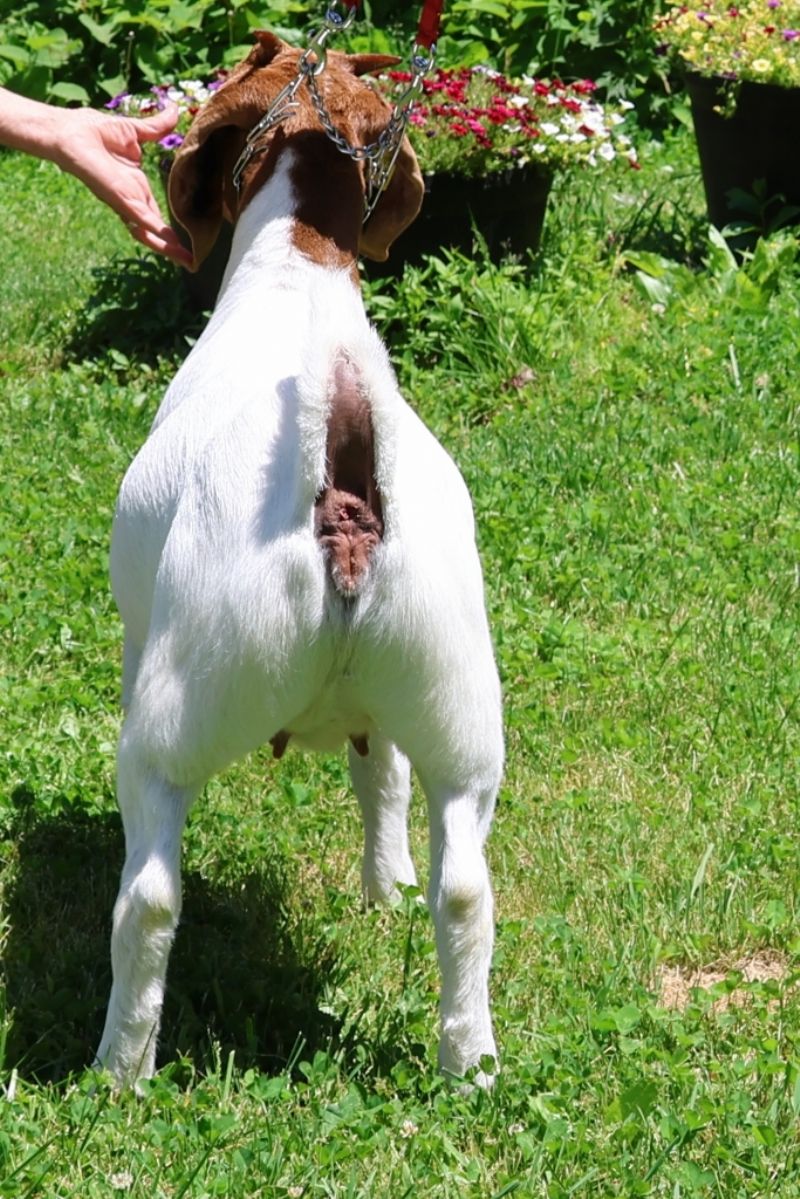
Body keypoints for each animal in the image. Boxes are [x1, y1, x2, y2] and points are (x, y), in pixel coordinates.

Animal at [94, 31, 504, 1088]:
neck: (298, 270)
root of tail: (347, 488)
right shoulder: (387, 714)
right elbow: (382, 781)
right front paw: (382, 886)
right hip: (458, 706)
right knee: (466, 887)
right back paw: (470, 1060)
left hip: (176, 709)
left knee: (150, 893)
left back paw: (118, 1067)